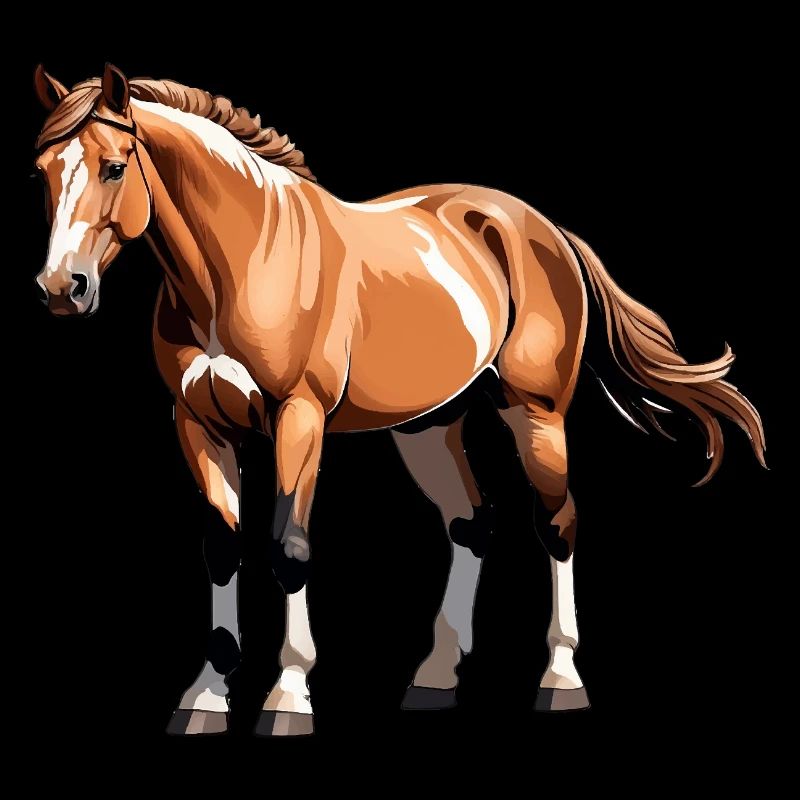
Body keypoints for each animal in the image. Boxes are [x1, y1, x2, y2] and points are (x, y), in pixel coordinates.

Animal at [32, 63, 766, 736]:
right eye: (43, 172)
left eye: (114, 167)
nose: (62, 288)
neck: (241, 262)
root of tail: (545, 228)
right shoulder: (199, 424)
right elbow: (221, 546)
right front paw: (207, 698)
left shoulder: (299, 420)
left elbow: (287, 547)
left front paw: (289, 696)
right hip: (429, 427)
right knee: (471, 522)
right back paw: (435, 678)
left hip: (536, 413)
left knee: (557, 522)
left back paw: (561, 679)